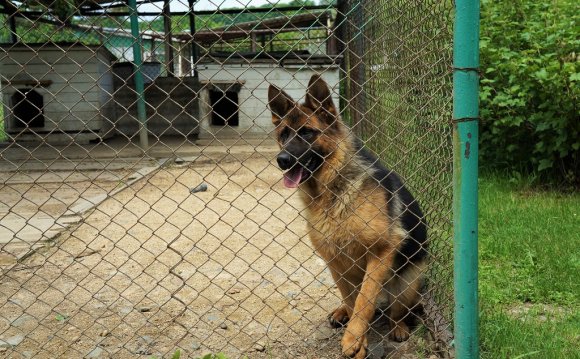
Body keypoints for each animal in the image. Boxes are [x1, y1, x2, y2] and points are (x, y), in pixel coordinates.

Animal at [270, 74, 428, 358]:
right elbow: (352, 298)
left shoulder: (381, 251)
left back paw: (398, 327)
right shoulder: (333, 257)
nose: (282, 160)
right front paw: (357, 334)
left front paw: (354, 338)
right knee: (351, 297)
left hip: (407, 281)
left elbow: (365, 300)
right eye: (284, 134)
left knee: (396, 311)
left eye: (307, 133)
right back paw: (342, 311)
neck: (332, 191)